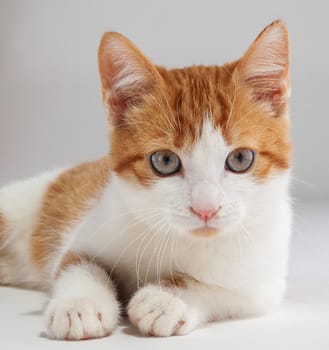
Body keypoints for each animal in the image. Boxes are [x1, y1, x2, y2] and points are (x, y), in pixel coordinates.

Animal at [0, 20, 292, 340]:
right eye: (164, 161)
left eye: (240, 159)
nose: (206, 209)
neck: (176, 237)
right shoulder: (89, 230)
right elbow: (77, 263)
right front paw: (80, 305)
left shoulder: (264, 284)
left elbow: (224, 291)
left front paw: (167, 299)